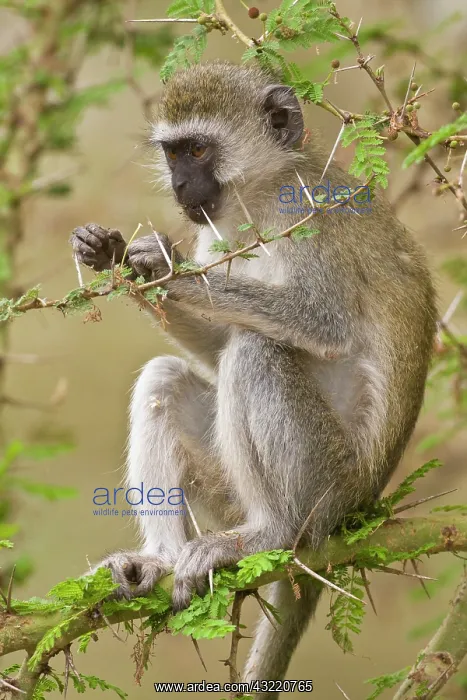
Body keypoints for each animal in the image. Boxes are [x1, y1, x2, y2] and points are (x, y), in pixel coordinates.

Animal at [70, 61, 436, 697]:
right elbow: (214, 349)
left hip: (327, 486)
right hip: (229, 491)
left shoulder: (305, 212)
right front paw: (121, 256)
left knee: (256, 351)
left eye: (198, 150)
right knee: (167, 377)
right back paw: (156, 562)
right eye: (173, 153)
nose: (181, 188)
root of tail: (360, 508)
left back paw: (273, 534)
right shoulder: (217, 231)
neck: (261, 195)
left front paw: (162, 264)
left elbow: (320, 322)